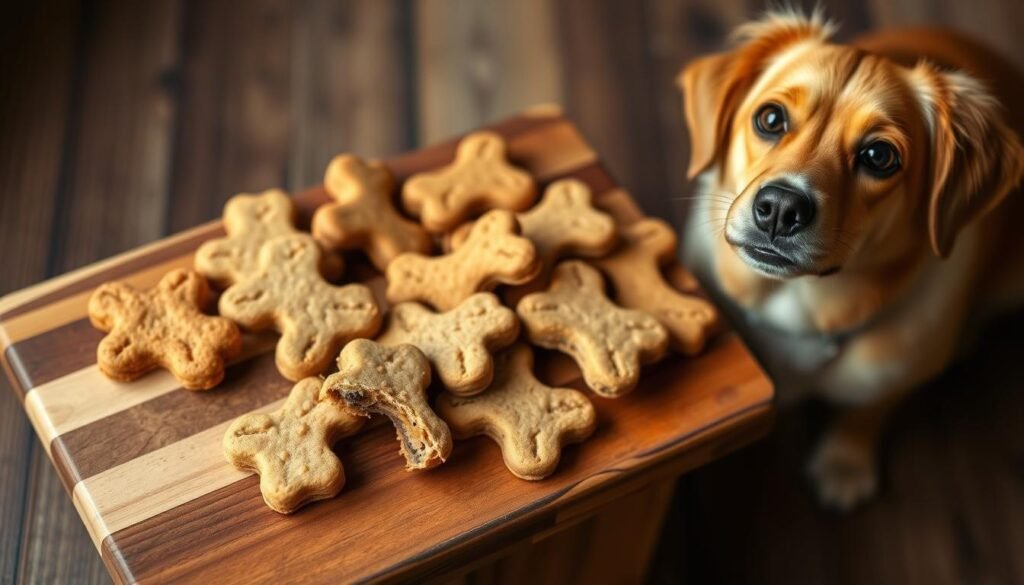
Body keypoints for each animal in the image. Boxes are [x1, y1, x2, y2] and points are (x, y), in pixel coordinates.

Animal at [679, 10, 1024, 512]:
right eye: (770, 118)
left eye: (879, 156)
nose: (780, 207)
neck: (800, 309)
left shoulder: (896, 372)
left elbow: (867, 411)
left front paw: (844, 463)